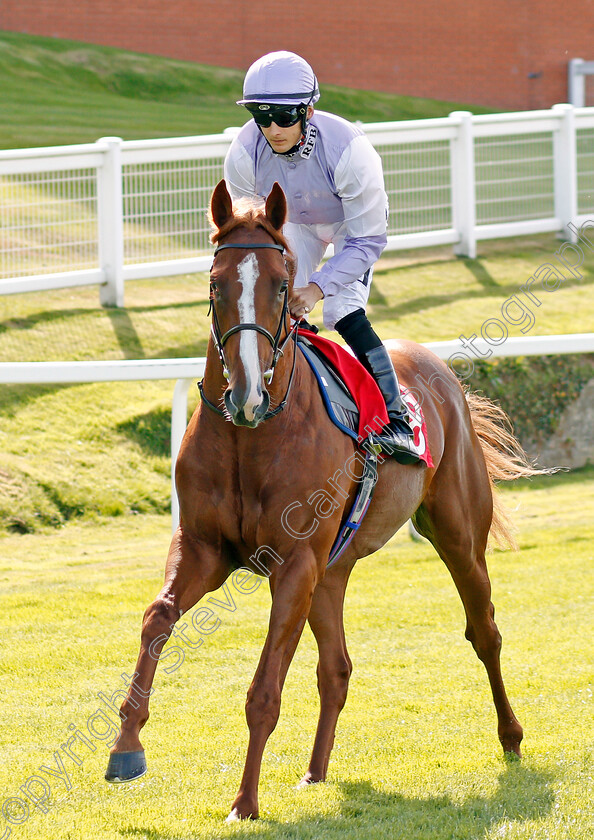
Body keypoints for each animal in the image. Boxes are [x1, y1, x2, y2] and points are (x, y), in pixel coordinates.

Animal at [106, 182, 536, 820]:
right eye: (216, 283)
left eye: (282, 286)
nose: (247, 393)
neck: (252, 435)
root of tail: (438, 368)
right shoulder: (206, 549)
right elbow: (157, 618)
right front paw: (126, 745)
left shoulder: (294, 564)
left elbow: (264, 690)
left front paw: (245, 801)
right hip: (331, 573)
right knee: (337, 668)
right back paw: (315, 771)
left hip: (457, 536)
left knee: (484, 631)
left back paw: (510, 737)